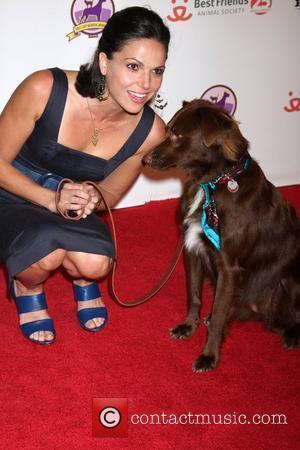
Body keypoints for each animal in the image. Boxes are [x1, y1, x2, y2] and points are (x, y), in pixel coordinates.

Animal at [144, 99, 298, 372]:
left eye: (177, 134)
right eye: (167, 129)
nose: (144, 159)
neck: (210, 182)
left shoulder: (229, 268)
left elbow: (217, 320)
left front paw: (209, 355)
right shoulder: (192, 249)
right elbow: (194, 296)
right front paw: (188, 326)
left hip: (289, 280)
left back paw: (292, 334)